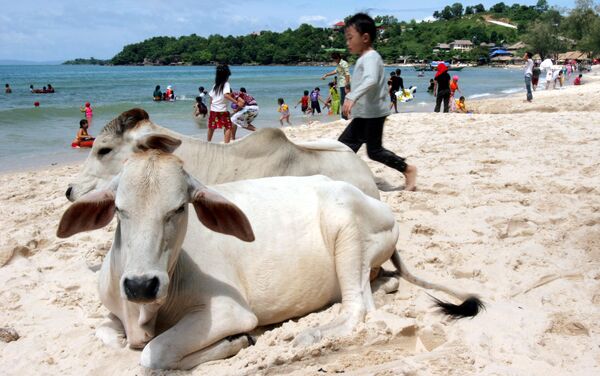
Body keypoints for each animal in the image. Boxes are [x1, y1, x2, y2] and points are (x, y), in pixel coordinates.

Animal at [57, 135, 482, 370]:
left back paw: (310, 335)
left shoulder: (230, 311)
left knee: (358, 308)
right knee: (375, 289)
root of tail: (382, 207)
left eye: (179, 208)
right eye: (119, 209)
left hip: (345, 230)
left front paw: (237, 342)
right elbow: (109, 335)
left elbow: (153, 353)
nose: (141, 285)